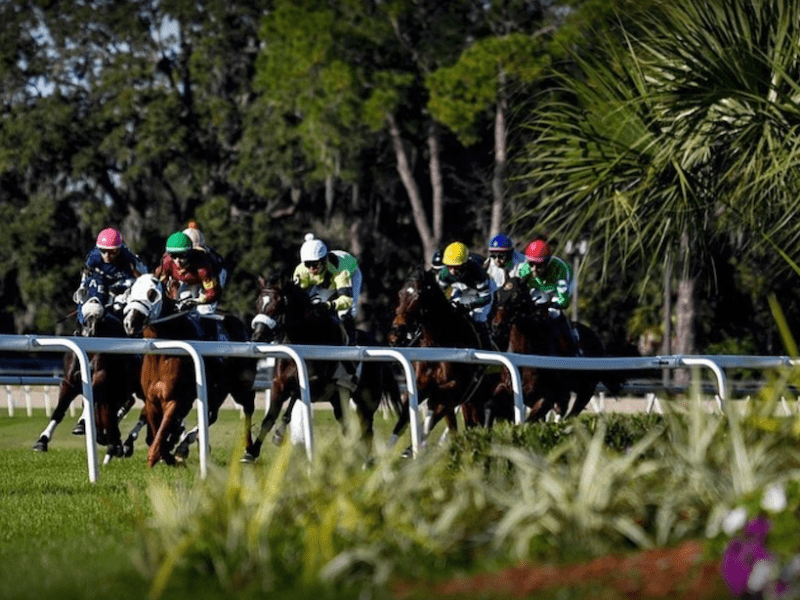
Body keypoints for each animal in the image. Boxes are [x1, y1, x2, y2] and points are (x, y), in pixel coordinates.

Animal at [32, 298, 143, 463]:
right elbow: (60, 410)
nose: (90, 332)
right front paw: (42, 441)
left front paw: (112, 441)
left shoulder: (102, 381)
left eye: (99, 321)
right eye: (84, 320)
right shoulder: (69, 383)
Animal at [122, 275, 257, 467]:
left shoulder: (176, 399)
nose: (130, 322)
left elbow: (164, 427)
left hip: (240, 387)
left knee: (247, 409)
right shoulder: (151, 399)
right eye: (131, 291)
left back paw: (249, 451)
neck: (163, 353)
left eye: (152, 293)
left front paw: (158, 455)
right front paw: (168, 452)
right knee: (211, 414)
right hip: (216, 390)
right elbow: (156, 430)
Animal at [246, 273, 401, 461]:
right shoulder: (279, 384)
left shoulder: (317, 386)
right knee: (348, 427)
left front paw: (278, 435)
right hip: (339, 400)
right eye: (257, 303)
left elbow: (293, 398)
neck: (308, 339)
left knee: (367, 429)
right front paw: (251, 452)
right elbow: (269, 418)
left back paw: (366, 460)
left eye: (276, 306)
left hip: (367, 399)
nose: (257, 336)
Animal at [387, 267, 494, 450]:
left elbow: (433, 411)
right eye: (400, 294)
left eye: (418, 295)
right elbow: (404, 418)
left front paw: (414, 447)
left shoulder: (456, 390)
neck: (438, 346)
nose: (397, 331)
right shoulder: (421, 386)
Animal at [489, 277, 622, 422]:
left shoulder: (546, 398)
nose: (496, 326)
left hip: (585, 389)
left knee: (571, 414)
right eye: (498, 294)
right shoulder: (509, 388)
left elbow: (530, 420)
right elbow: (495, 398)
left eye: (515, 296)